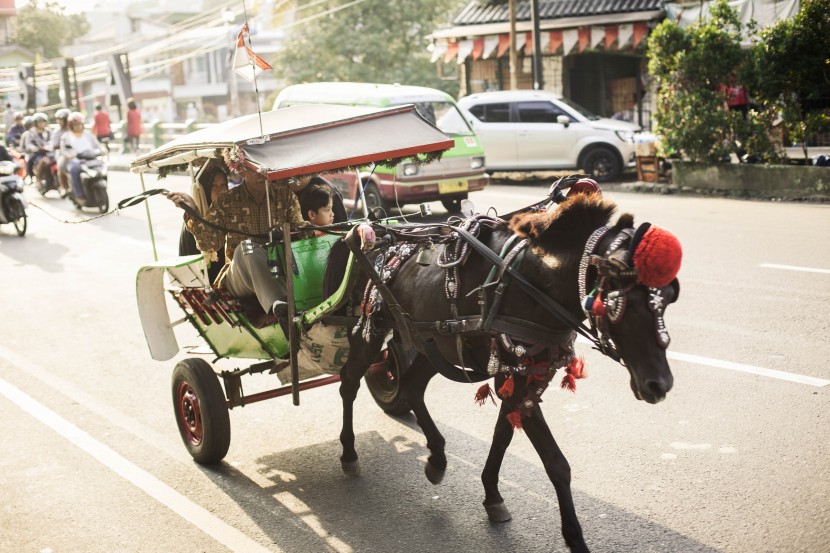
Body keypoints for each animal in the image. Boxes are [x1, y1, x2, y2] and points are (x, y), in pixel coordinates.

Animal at [334, 191, 684, 552]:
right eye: (623, 304)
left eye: (670, 298)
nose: (659, 384)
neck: (534, 283)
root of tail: (371, 232)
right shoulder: (514, 376)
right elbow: (556, 463)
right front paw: (574, 537)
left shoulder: (524, 377)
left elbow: (502, 435)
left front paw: (492, 496)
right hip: (369, 331)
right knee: (349, 382)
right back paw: (349, 452)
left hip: (431, 343)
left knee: (413, 388)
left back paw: (437, 457)